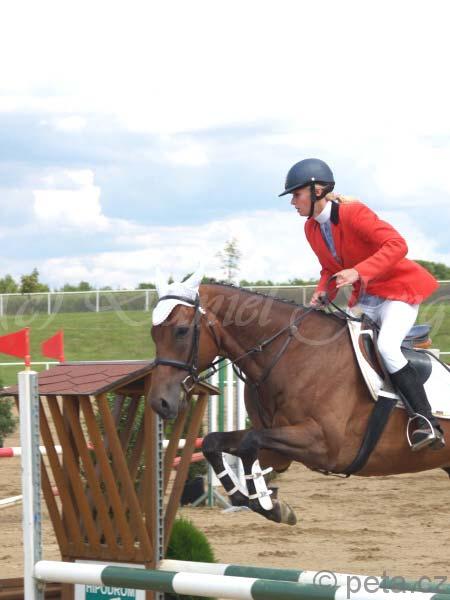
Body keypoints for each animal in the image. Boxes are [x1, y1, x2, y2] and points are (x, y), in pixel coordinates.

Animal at [149, 274, 450, 525]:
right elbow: (216, 443)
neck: (291, 353)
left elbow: (248, 443)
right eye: (154, 334)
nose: (159, 402)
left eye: (181, 330)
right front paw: (256, 501)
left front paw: (268, 504)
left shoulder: (324, 446)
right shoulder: (277, 448)